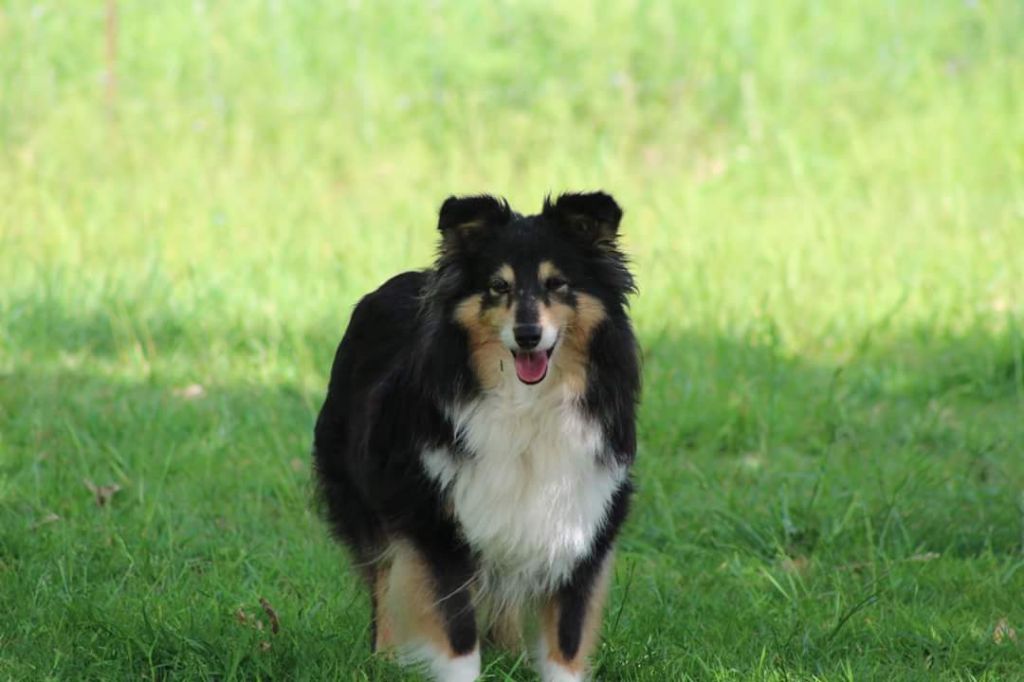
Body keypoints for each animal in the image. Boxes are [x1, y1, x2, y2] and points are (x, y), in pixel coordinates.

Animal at [311, 191, 638, 679]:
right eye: (497, 286)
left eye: (557, 284)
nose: (527, 335)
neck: (528, 405)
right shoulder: (435, 523)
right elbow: (456, 635)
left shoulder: (583, 522)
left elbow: (566, 642)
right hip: (366, 495)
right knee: (383, 575)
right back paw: (384, 659)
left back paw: (510, 654)